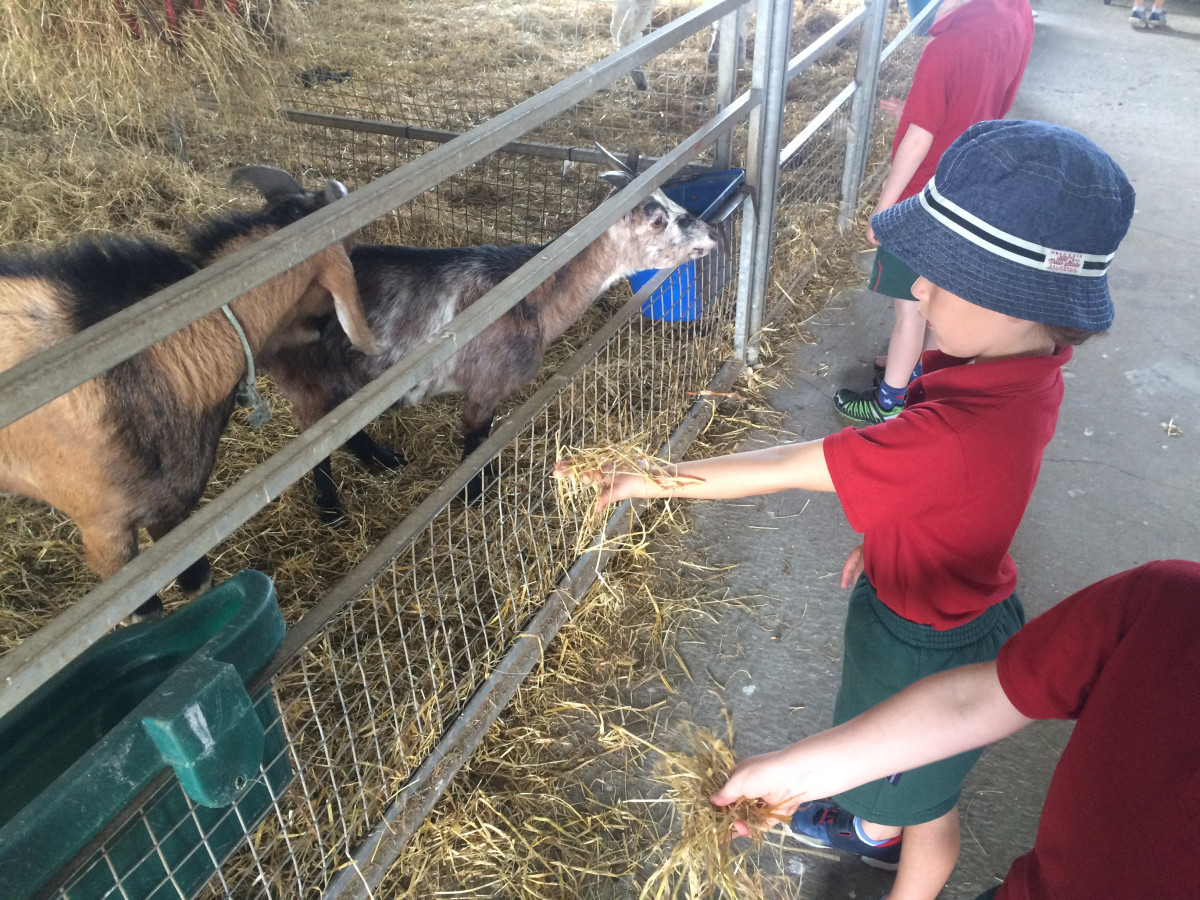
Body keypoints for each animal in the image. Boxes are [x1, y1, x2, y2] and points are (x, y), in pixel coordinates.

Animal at [258, 153, 722, 523]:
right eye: (657, 219)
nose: (712, 235)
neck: (529, 290)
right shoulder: (484, 384)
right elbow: (476, 442)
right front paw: (473, 496)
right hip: (305, 378)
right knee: (315, 443)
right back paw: (331, 509)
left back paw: (385, 462)